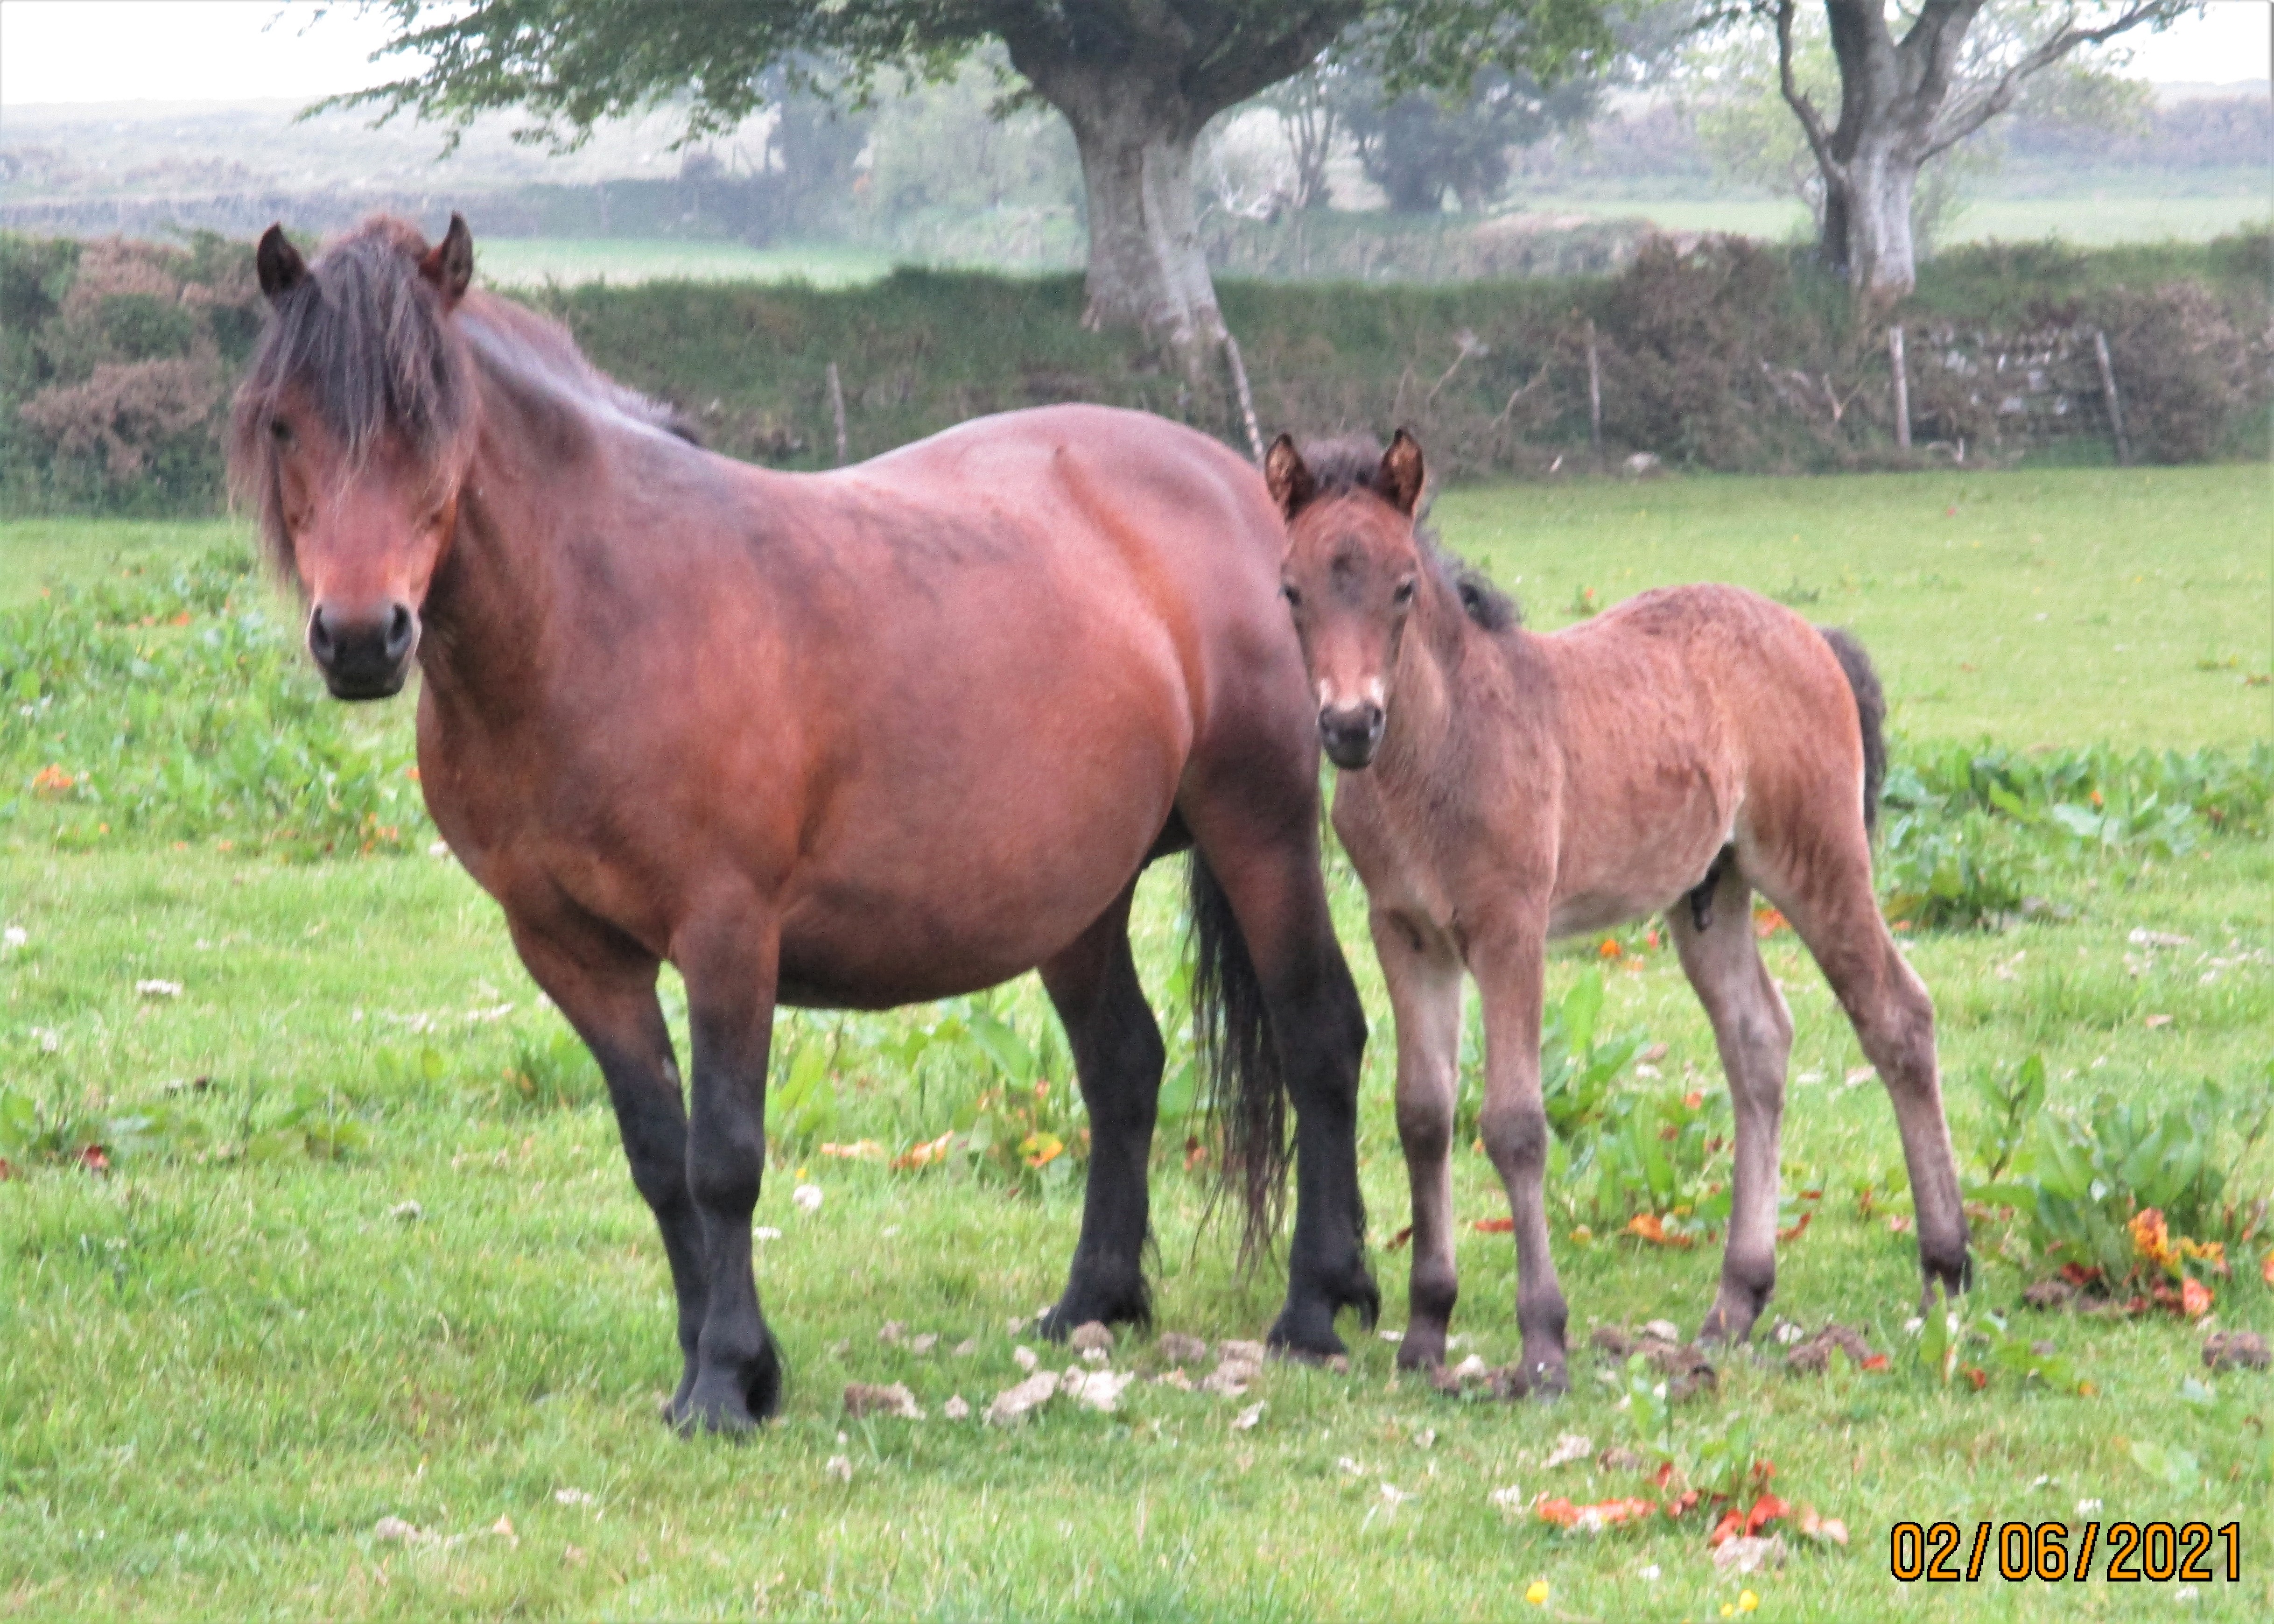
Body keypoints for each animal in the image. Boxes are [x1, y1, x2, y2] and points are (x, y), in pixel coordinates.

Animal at [1264, 429, 1973, 1392]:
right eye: (1290, 590)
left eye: (1404, 585)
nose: (1347, 725)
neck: (1439, 752)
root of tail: (1809, 635)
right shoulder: (1405, 933)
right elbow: (1421, 1114)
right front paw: (1424, 1330)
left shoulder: (1509, 927)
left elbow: (1514, 1124)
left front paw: (1543, 1344)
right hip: (1711, 890)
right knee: (1758, 1040)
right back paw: (1735, 1298)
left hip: (1817, 856)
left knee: (1896, 1016)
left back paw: (1945, 1263)